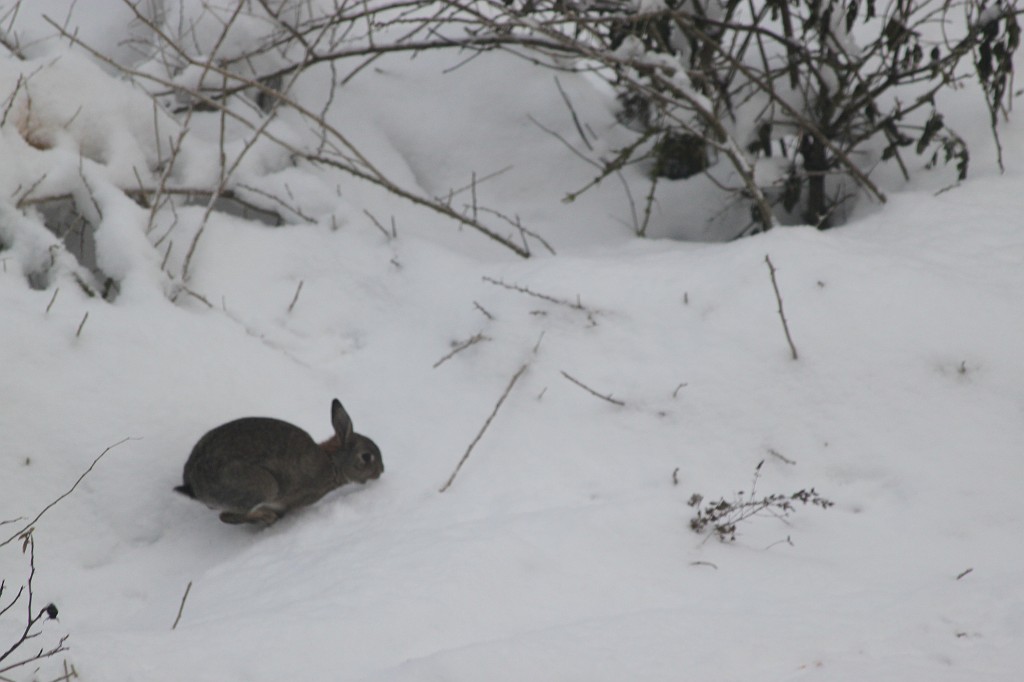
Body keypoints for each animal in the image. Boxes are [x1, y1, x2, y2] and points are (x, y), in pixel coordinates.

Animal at [175, 398, 383, 525]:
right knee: (227, 516)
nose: (381, 471)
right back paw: (267, 517)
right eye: (366, 457)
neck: (333, 462)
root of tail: (193, 484)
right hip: (262, 485)